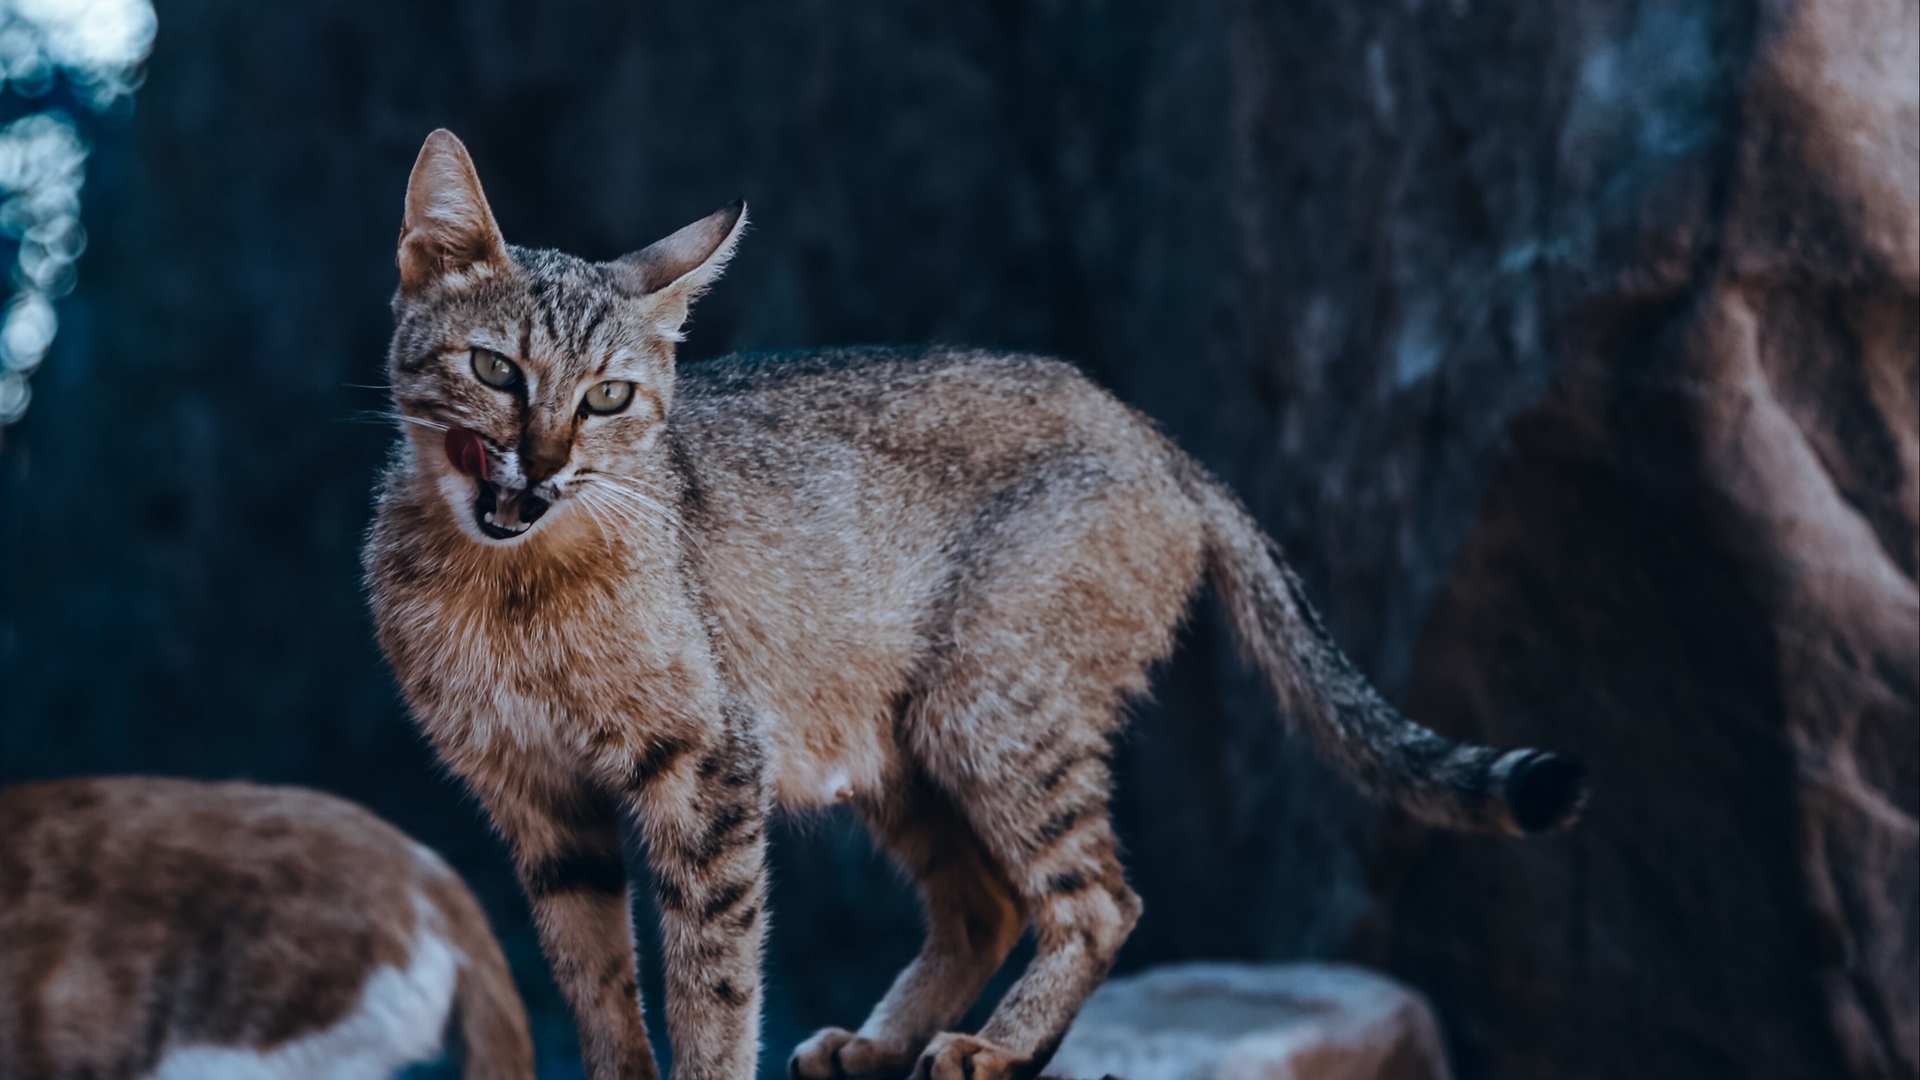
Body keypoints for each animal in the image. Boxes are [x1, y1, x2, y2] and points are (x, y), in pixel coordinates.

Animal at [362, 130, 1589, 1076]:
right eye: (496, 370)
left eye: (610, 396)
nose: (546, 462)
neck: (506, 591)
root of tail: (1152, 435)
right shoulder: (537, 800)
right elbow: (597, 981)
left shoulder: (707, 765)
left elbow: (710, 978)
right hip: (902, 738)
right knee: (986, 904)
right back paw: (880, 1043)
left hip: (988, 704)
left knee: (1098, 900)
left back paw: (993, 1050)